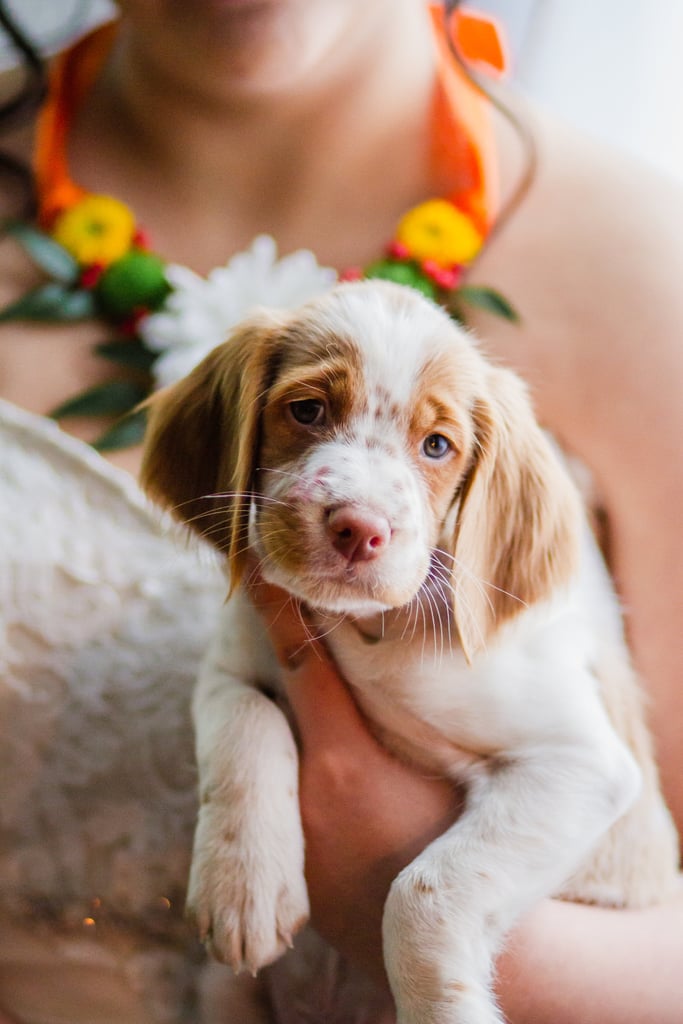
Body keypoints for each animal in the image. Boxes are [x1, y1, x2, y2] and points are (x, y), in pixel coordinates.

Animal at [140, 280, 679, 1024]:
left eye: (436, 445)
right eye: (307, 410)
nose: (358, 528)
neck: (366, 630)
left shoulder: (580, 763)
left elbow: (425, 889)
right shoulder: (232, 664)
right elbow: (245, 724)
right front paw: (243, 886)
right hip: (223, 997)